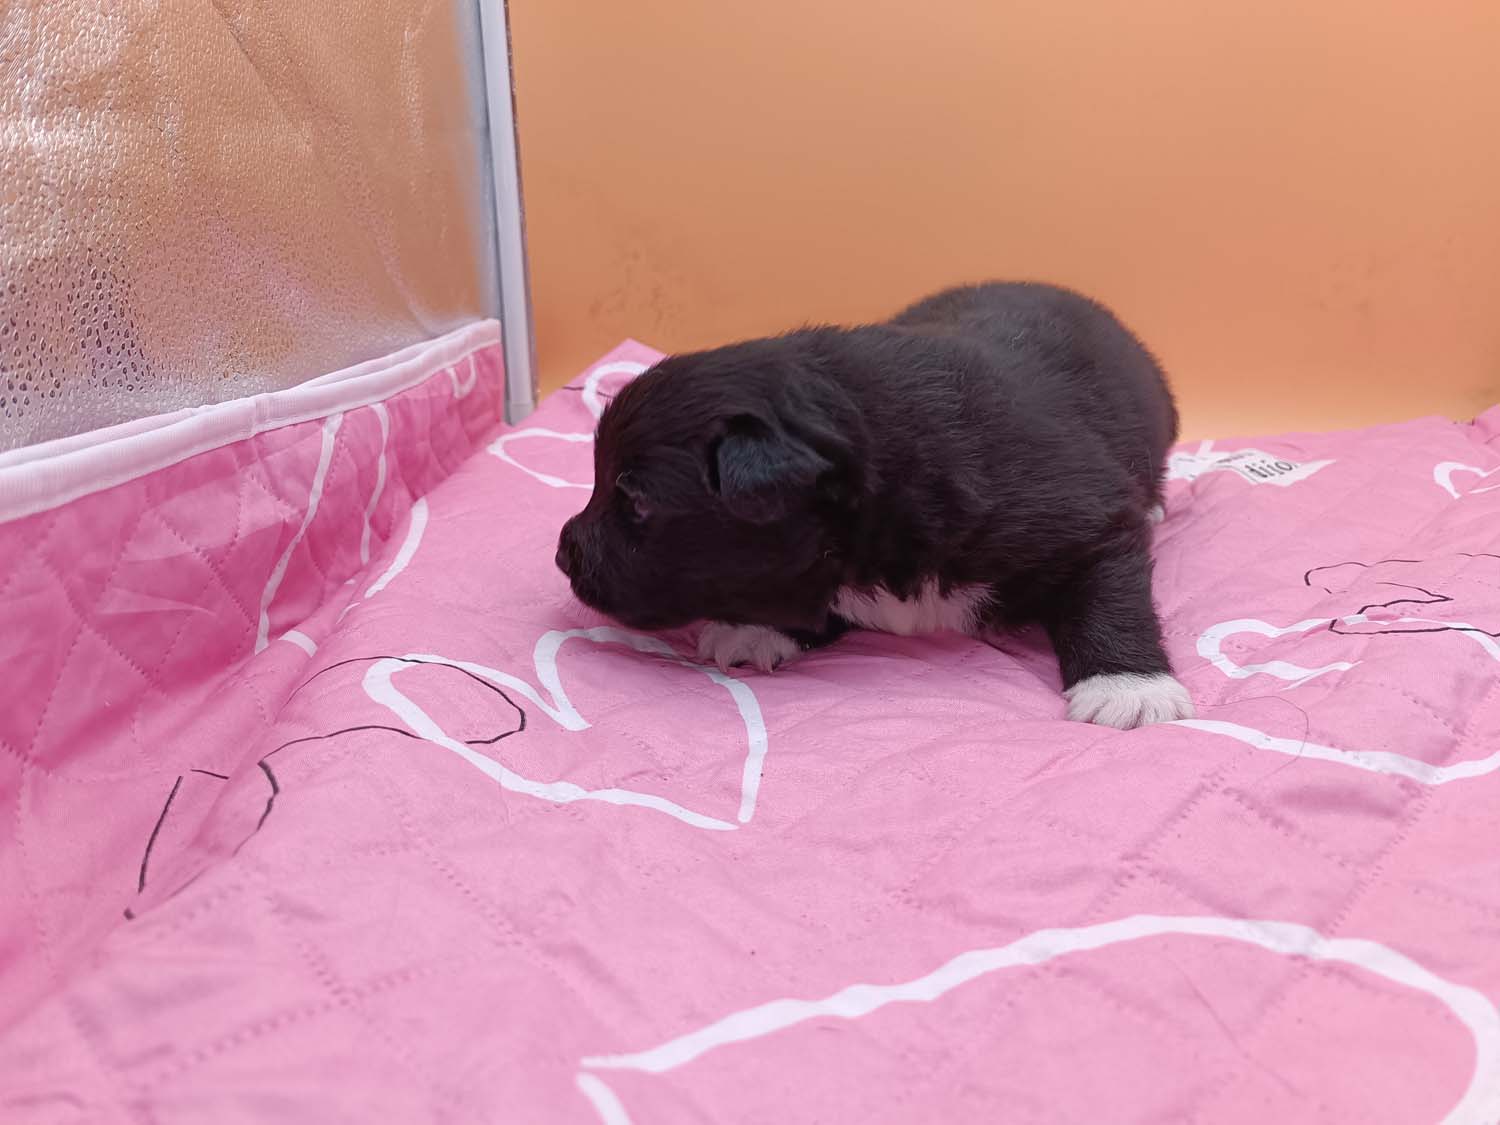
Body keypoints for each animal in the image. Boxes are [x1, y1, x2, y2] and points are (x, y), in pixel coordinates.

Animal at [556, 281, 1194, 729]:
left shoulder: (1090, 519)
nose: (563, 555)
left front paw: (1129, 689)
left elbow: (1108, 594)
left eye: (636, 502)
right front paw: (758, 627)